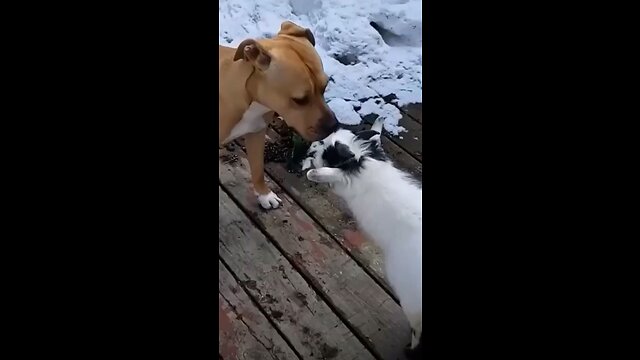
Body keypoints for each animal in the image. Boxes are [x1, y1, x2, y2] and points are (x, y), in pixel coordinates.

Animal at [220, 21, 338, 210]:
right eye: (299, 100)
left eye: (325, 87)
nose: (334, 125)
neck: (252, 100)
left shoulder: (256, 133)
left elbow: (258, 169)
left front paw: (264, 195)